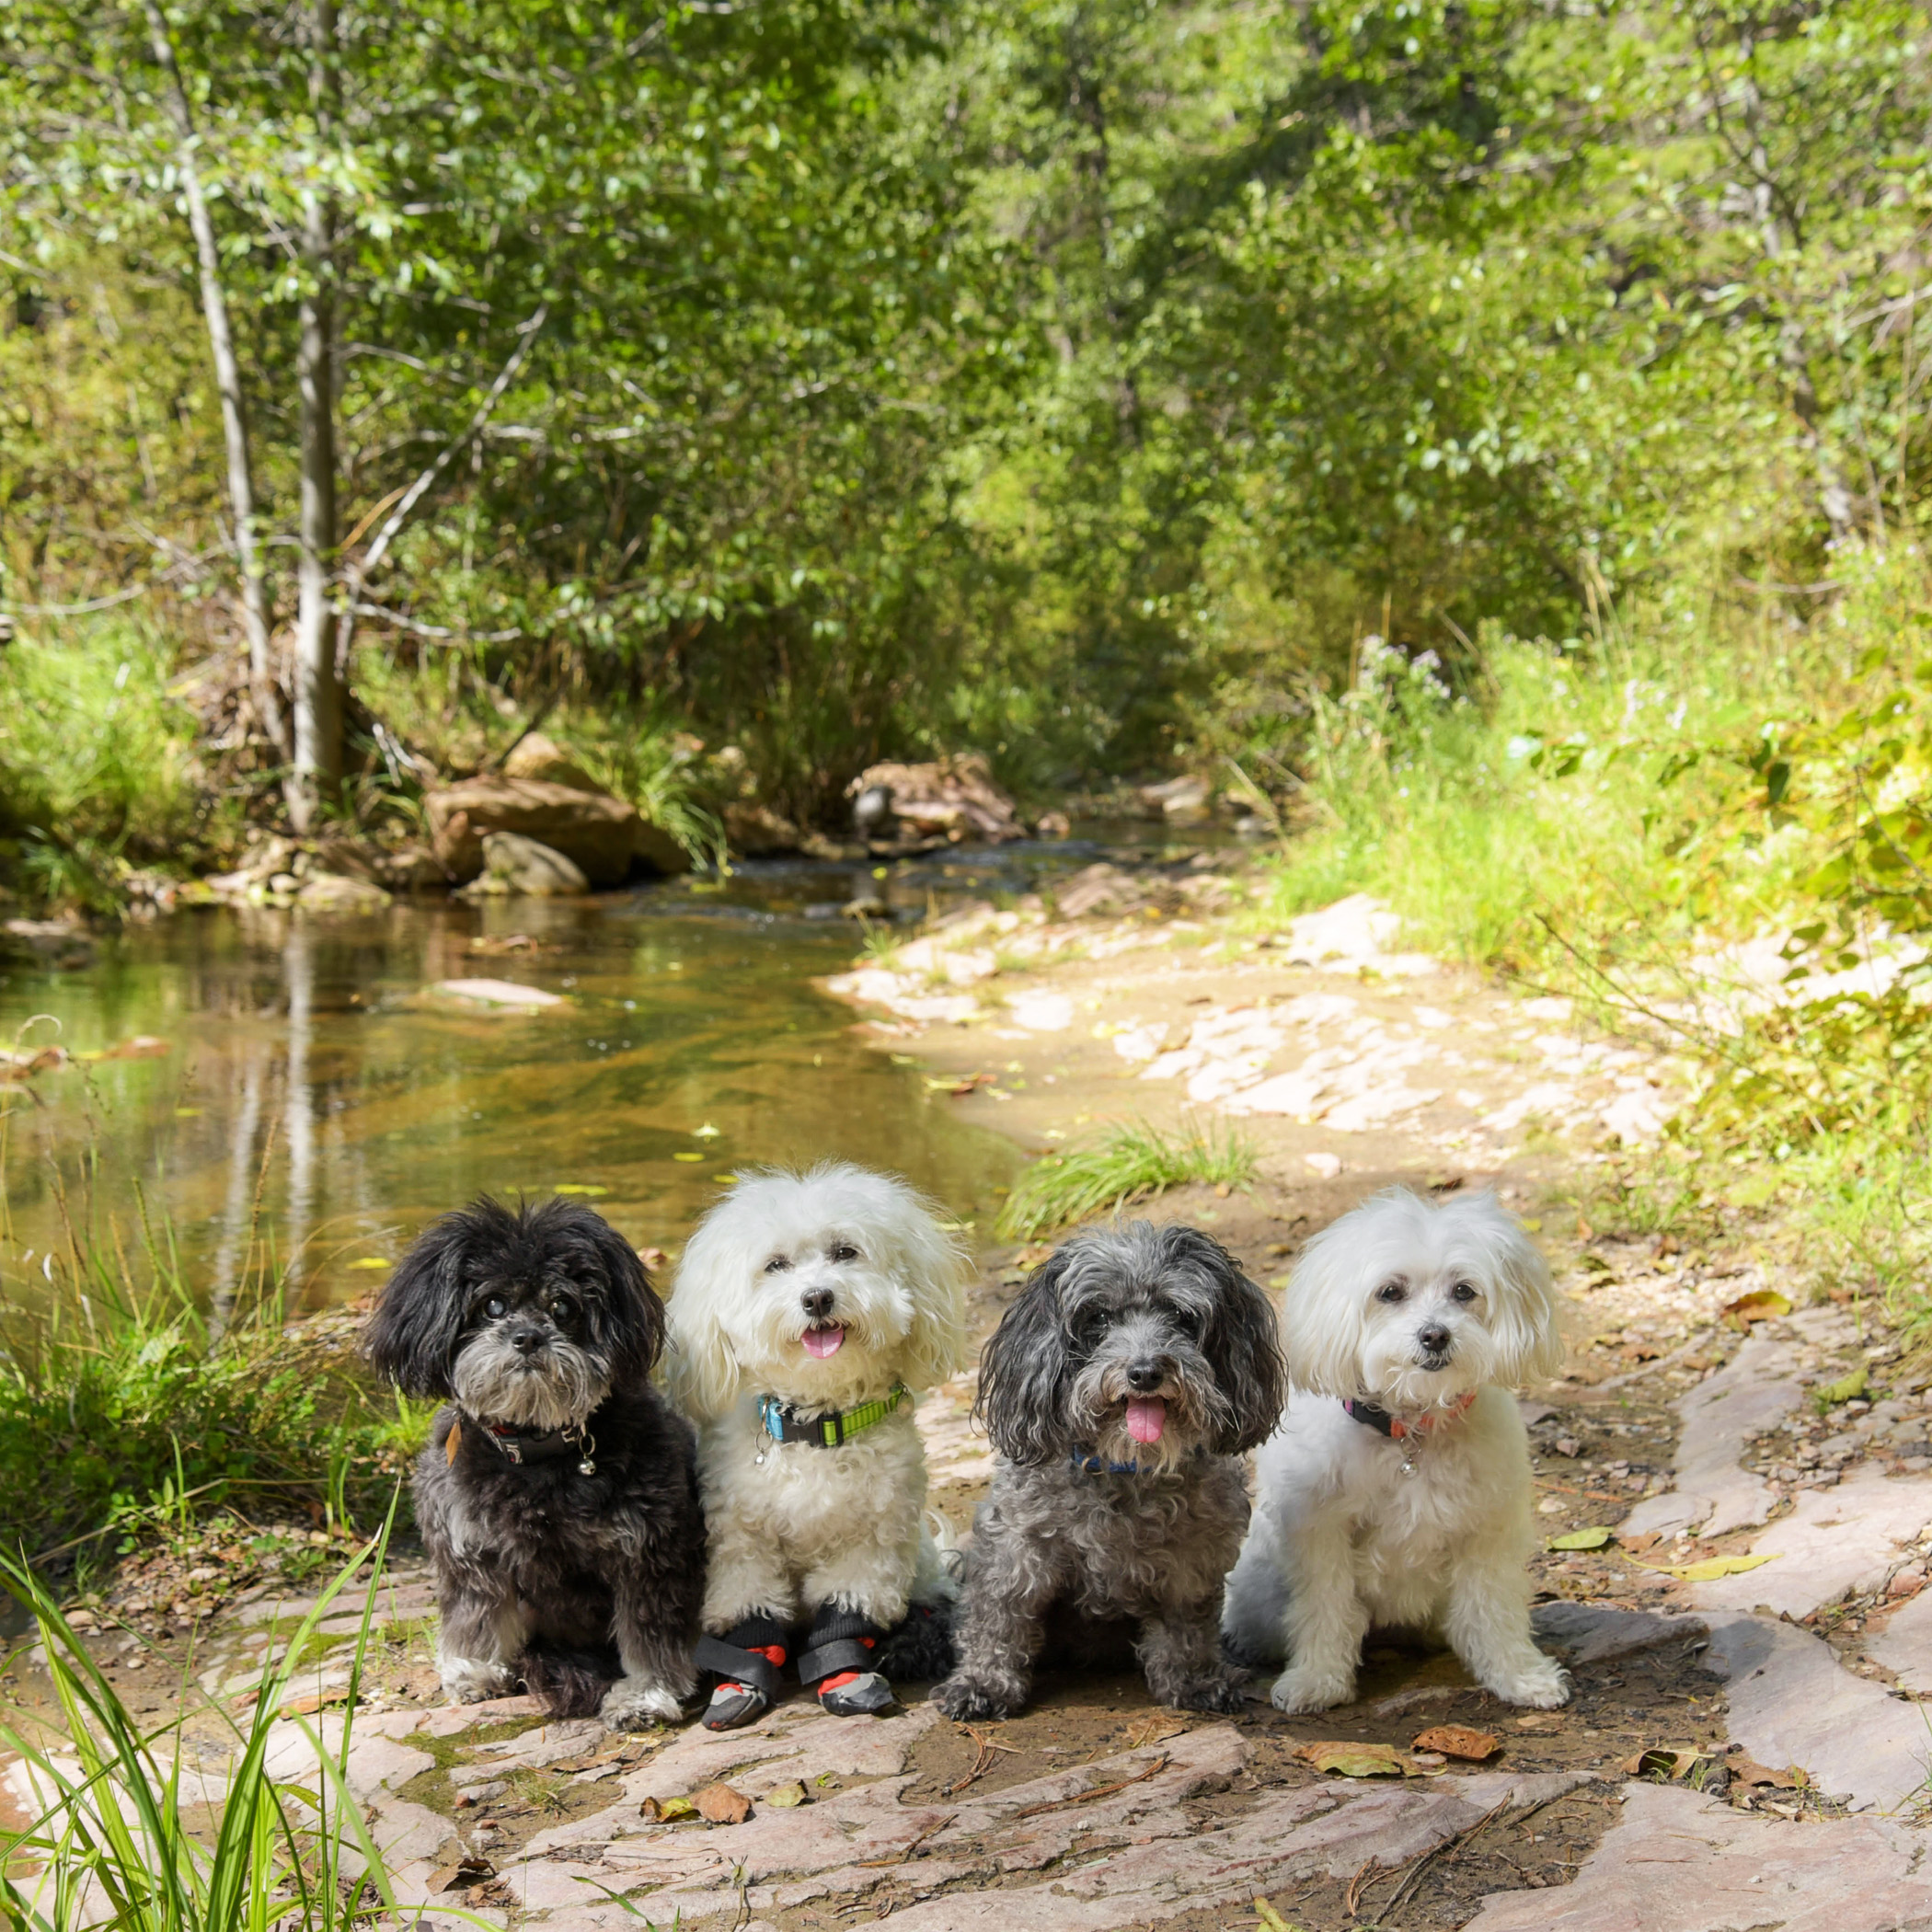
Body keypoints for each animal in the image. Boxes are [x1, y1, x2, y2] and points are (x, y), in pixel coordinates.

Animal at [364, 1198, 707, 1731]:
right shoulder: (471, 1552)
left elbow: (649, 1633)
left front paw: (645, 1695)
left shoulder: (650, 1554)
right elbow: (476, 1615)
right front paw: (476, 1669)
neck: (535, 1452)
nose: (527, 1337)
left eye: (563, 1307)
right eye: (493, 1306)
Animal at [668, 1151, 973, 1731]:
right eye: (775, 1265)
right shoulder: (741, 1542)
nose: (817, 1297)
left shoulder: (870, 1544)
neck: (817, 1428)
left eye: (845, 1252)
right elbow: (751, 1607)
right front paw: (739, 1683)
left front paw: (847, 1677)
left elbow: (846, 1612)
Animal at [1221, 1182, 1569, 1715]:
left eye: (1463, 1291)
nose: (1435, 1334)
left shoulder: (1486, 1532)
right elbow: (1325, 1608)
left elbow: (1493, 1609)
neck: (1412, 1429)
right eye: (1390, 1292)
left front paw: (1519, 1675)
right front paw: (1316, 1680)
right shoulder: (1324, 1534)